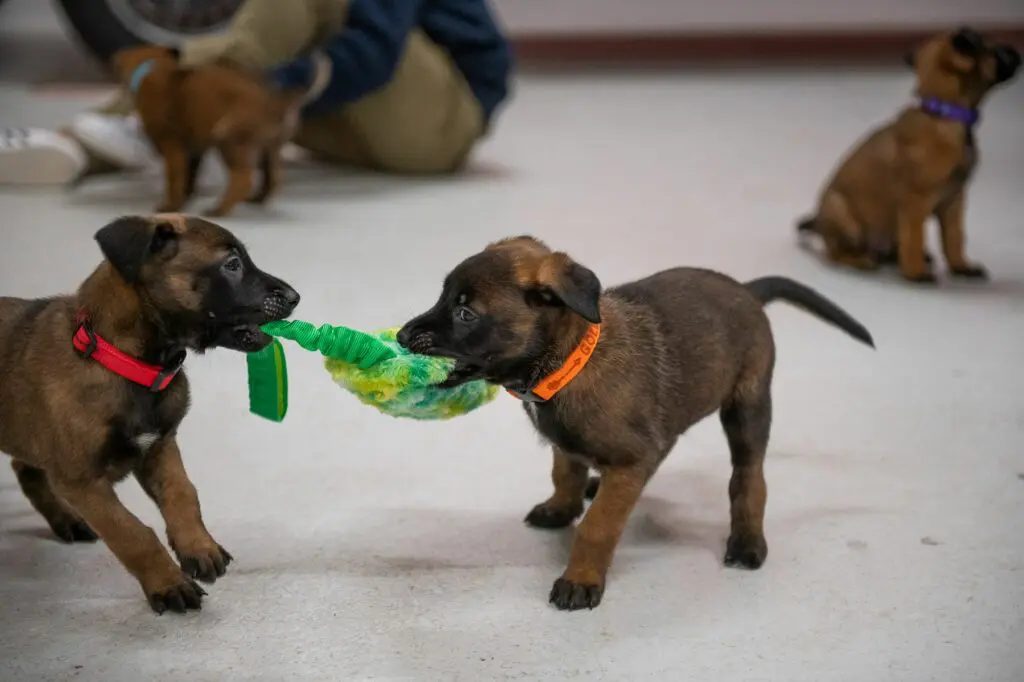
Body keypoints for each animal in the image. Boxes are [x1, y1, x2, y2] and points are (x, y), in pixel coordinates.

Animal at [0, 212, 301, 610]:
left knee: (26, 469)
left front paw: (198, 547)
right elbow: (132, 533)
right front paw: (167, 583)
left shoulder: (160, 445)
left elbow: (183, 493)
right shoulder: (82, 481)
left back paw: (65, 520)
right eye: (232, 265)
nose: (296, 297)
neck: (126, 361)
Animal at [108, 45, 325, 215]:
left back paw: (219, 209)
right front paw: (185, 200)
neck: (154, 66)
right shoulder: (194, 149)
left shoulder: (172, 148)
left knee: (243, 179)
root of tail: (276, 101)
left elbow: (174, 180)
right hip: (269, 148)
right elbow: (189, 177)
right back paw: (257, 198)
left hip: (228, 139)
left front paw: (170, 206)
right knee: (274, 177)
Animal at [395, 236, 876, 606]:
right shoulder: (570, 445)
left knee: (748, 477)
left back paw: (746, 541)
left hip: (748, 407)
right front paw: (563, 507)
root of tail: (747, 290)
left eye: (466, 314)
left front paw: (581, 579)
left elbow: (598, 526)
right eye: (442, 297)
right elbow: (565, 474)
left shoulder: (630, 460)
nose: (401, 335)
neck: (566, 363)